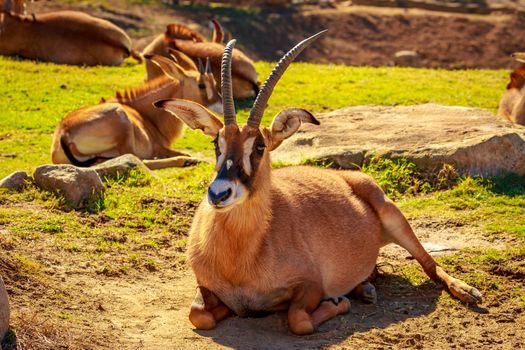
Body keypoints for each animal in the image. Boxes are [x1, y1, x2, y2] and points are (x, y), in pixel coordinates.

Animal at [50, 50, 219, 170]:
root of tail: (64, 132)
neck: (144, 113)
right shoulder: (159, 148)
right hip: (122, 122)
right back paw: (188, 161)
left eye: (214, 83)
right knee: (140, 160)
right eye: (201, 85)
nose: (218, 106)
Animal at [154, 33, 482, 336]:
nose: (219, 193)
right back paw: (365, 288)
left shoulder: (310, 285)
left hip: (394, 217)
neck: (240, 255)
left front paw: (338, 303)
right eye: (216, 143)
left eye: (260, 146)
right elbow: (200, 315)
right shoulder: (204, 285)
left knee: (429, 264)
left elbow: (298, 320)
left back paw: (466, 291)